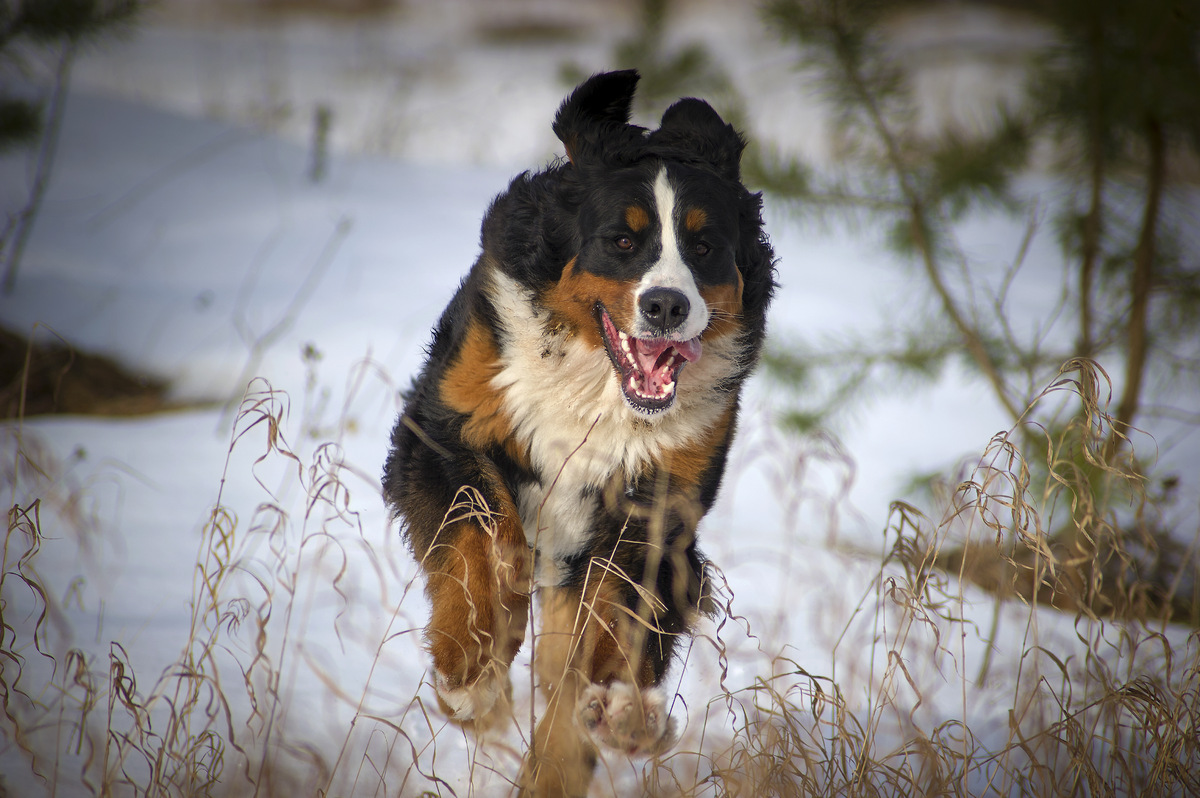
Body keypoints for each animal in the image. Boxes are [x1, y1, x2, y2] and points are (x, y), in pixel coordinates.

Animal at [384, 69, 777, 796]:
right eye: (622, 241)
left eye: (705, 247)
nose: (667, 304)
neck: (592, 384)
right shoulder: (441, 432)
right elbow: (482, 537)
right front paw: (470, 672)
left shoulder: (653, 507)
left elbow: (609, 632)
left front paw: (619, 713)